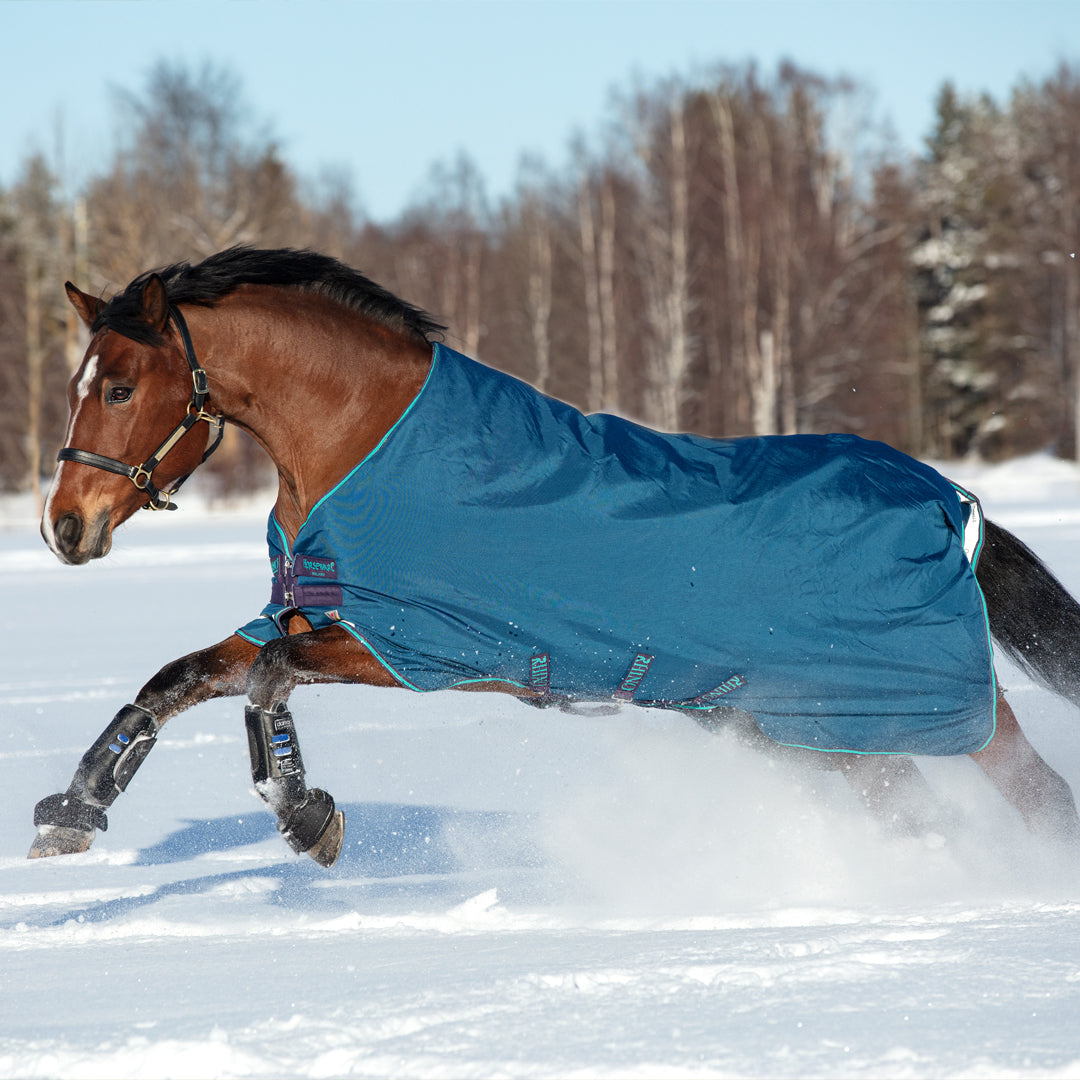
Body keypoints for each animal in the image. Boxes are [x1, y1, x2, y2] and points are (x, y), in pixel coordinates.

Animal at [29, 248, 1080, 864]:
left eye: (119, 388)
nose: (65, 528)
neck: (362, 443)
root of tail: (952, 504)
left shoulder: (407, 646)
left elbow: (266, 682)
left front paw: (306, 815)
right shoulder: (313, 615)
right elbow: (176, 681)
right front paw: (73, 814)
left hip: (933, 717)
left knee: (1039, 794)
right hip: (819, 735)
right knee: (920, 814)